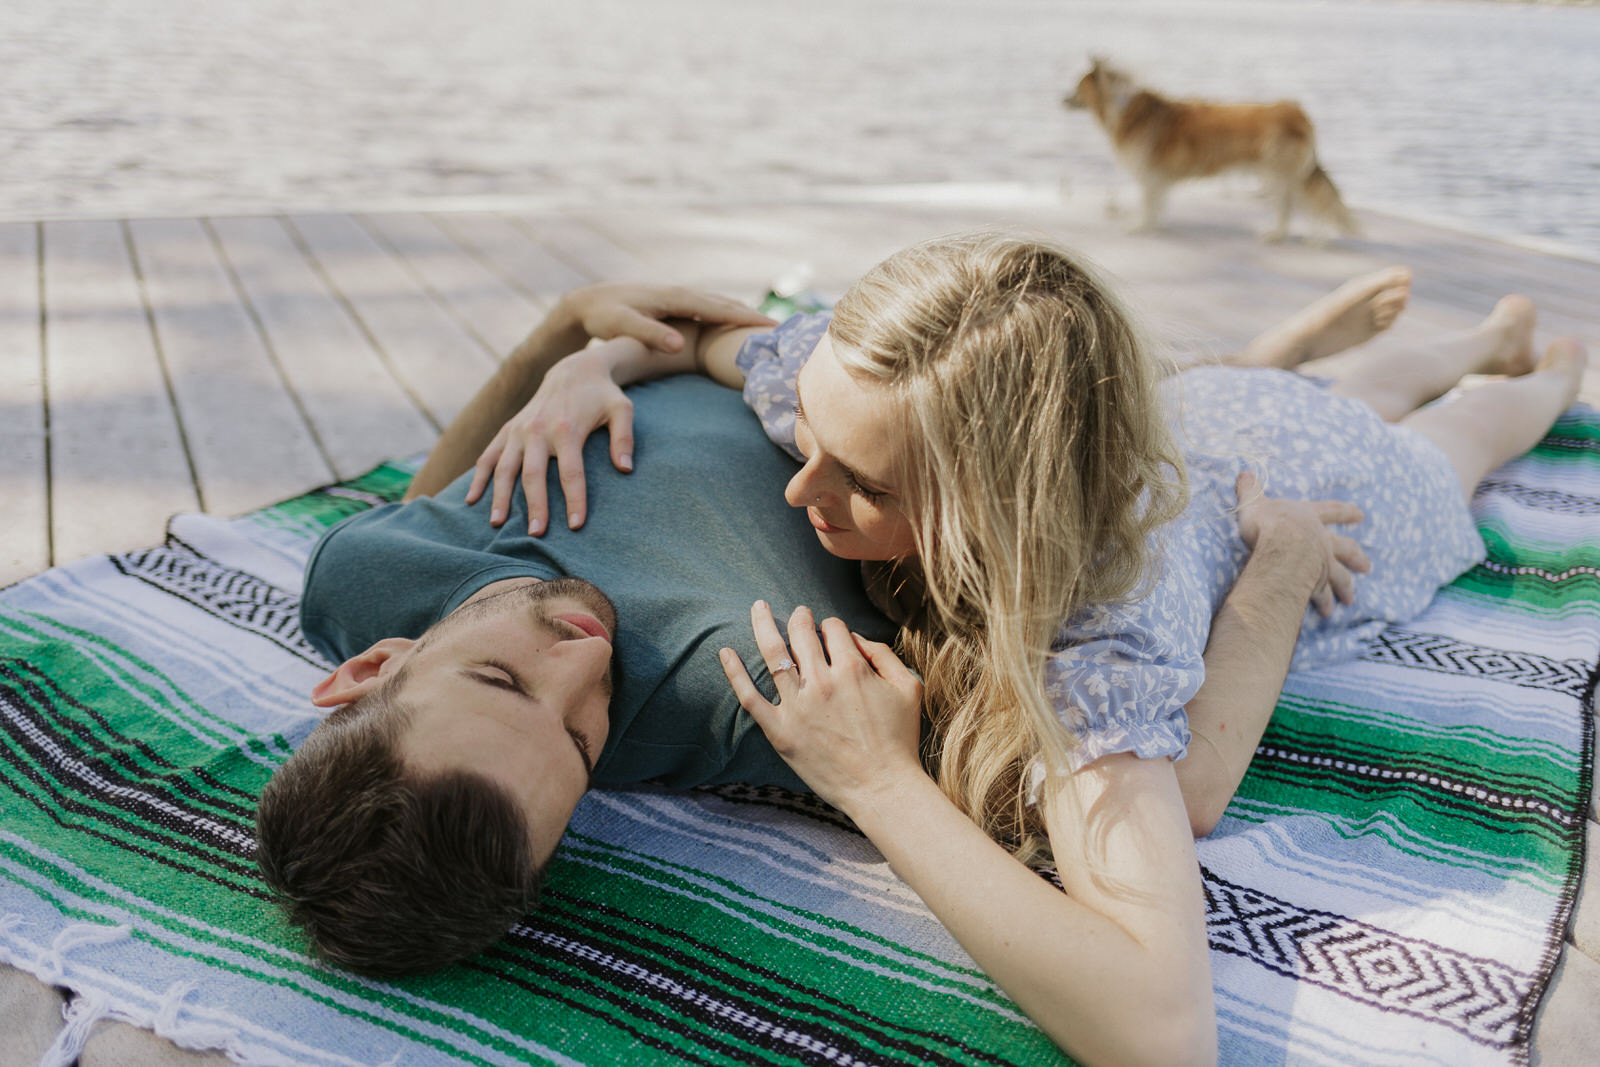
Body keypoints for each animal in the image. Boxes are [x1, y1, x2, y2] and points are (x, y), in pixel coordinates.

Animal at [1068, 59, 1356, 243]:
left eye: (1077, 87)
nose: (1062, 99)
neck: (1121, 108)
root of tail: (1298, 113)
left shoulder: (1150, 174)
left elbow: (1148, 204)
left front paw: (1142, 227)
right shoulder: (1158, 178)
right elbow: (1158, 203)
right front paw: (1155, 226)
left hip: (1277, 175)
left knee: (1288, 207)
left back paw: (1277, 235)